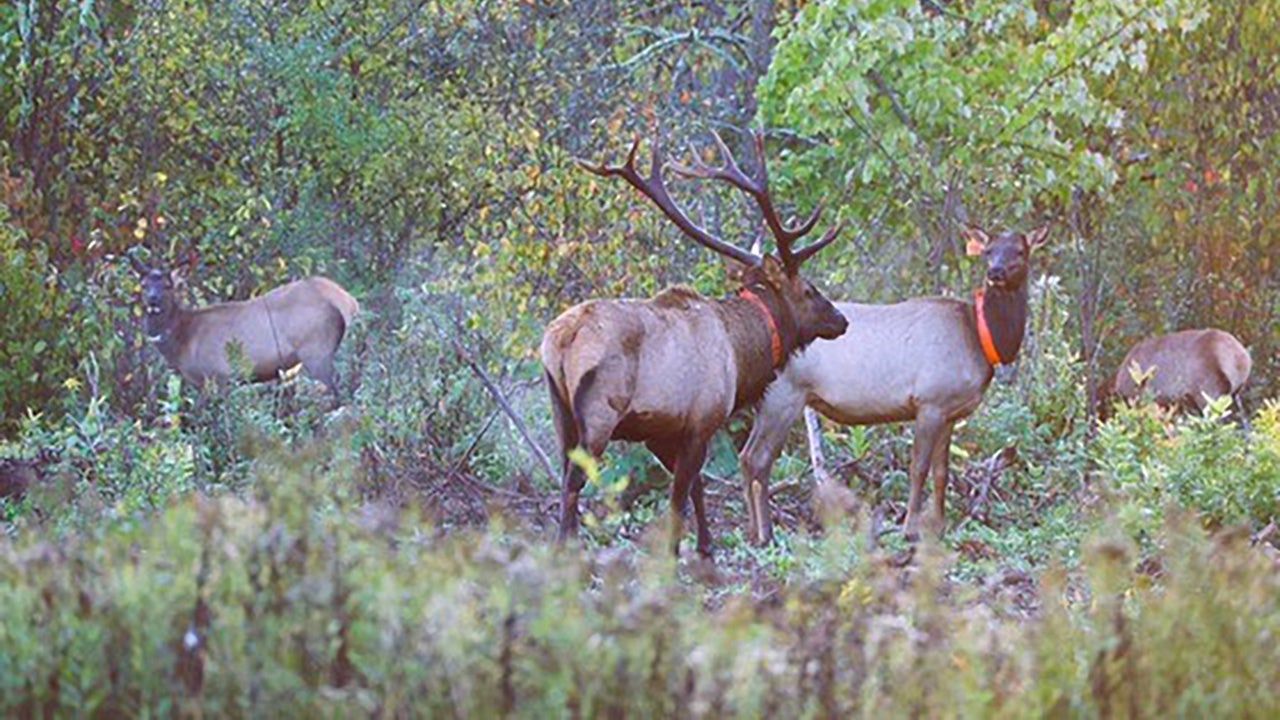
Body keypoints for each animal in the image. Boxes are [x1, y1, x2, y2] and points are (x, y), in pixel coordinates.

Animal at [132, 257, 359, 396]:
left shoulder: (217, 375)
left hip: (316, 349)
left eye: (167, 286)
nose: (152, 299)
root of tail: (349, 302)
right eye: (143, 285)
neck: (183, 339)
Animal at [542, 130, 848, 557]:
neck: (741, 354)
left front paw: (705, 546)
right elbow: (680, 495)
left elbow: (696, 488)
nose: (841, 320)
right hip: (601, 411)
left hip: (560, 410)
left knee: (562, 472)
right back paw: (566, 548)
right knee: (574, 478)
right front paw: (678, 552)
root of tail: (560, 340)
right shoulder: (703, 418)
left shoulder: (661, 431)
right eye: (809, 290)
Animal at [738, 225, 1050, 544]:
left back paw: (751, 530)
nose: (995, 272)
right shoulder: (929, 402)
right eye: (989, 251)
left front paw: (939, 527)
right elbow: (918, 468)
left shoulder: (950, 412)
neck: (979, 337)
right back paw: (764, 533)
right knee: (758, 458)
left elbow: (942, 472)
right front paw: (910, 529)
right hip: (784, 396)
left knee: (745, 457)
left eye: (1020, 251)